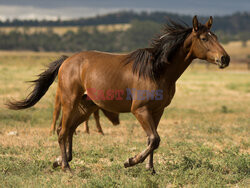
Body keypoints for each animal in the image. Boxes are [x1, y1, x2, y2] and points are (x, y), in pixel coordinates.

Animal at [5, 16, 229, 173]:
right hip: (70, 101)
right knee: (62, 131)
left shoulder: (157, 111)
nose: (224, 59)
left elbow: (153, 140)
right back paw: (66, 167)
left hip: (85, 106)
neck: (156, 71)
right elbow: (154, 139)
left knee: (68, 129)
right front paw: (130, 161)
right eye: (204, 38)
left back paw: (61, 160)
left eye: (216, 37)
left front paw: (150, 169)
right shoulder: (140, 110)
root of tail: (67, 61)